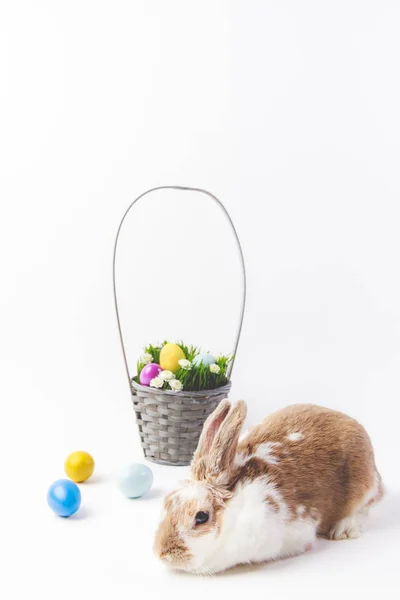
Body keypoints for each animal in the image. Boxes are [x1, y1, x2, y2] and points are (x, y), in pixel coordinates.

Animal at [154, 400, 384, 576]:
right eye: (167, 502)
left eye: (201, 517)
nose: (162, 553)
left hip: (364, 486)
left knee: (366, 506)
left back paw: (343, 529)